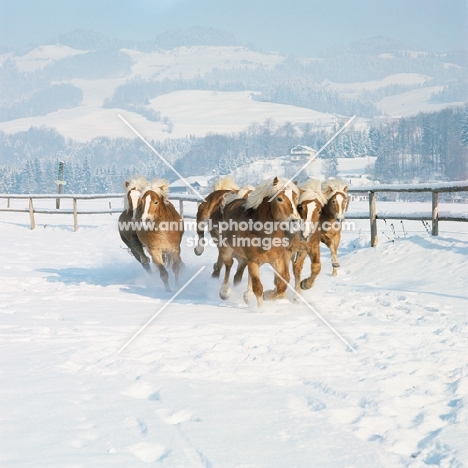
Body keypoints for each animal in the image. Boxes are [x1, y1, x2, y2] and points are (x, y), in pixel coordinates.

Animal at [213, 176, 300, 308]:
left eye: (295, 198)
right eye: (279, 198)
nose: (296, 220)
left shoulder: (277, 259)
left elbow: (282, 283)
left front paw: (267, 295)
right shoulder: (253, 261)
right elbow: (258, 287)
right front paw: (260, 310)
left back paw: (247, 295)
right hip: (226, 249)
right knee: (229, 264)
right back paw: (224, 292)